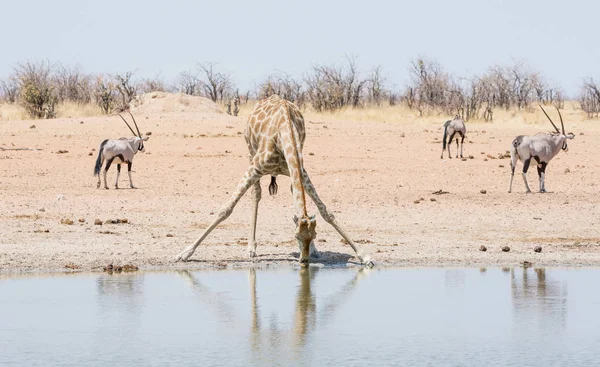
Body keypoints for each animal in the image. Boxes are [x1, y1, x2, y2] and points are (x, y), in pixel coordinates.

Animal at [173, 95, 372, 268]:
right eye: (296, 237)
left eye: (314, 236)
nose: (304, 261)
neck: (284, 133)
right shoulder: (254, 169)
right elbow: (225, 209)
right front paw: (185, 253)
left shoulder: (301, 172)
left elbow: (325, 211)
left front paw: (365, 256)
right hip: (250, 153)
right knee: (256, 194)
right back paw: (251, 247)